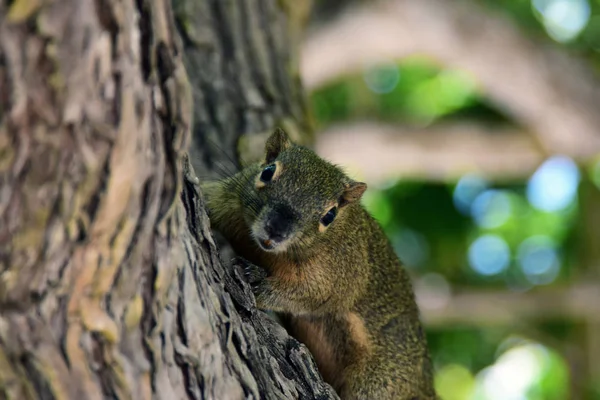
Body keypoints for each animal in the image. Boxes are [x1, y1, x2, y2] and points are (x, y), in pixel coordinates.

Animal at [202, 129, 436, 400]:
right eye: (267, 172)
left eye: (329, 215)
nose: (276, 230)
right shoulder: (228, 199)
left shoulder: (341, 272)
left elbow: (310, 294)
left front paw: (260, 285)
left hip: (381, 383)